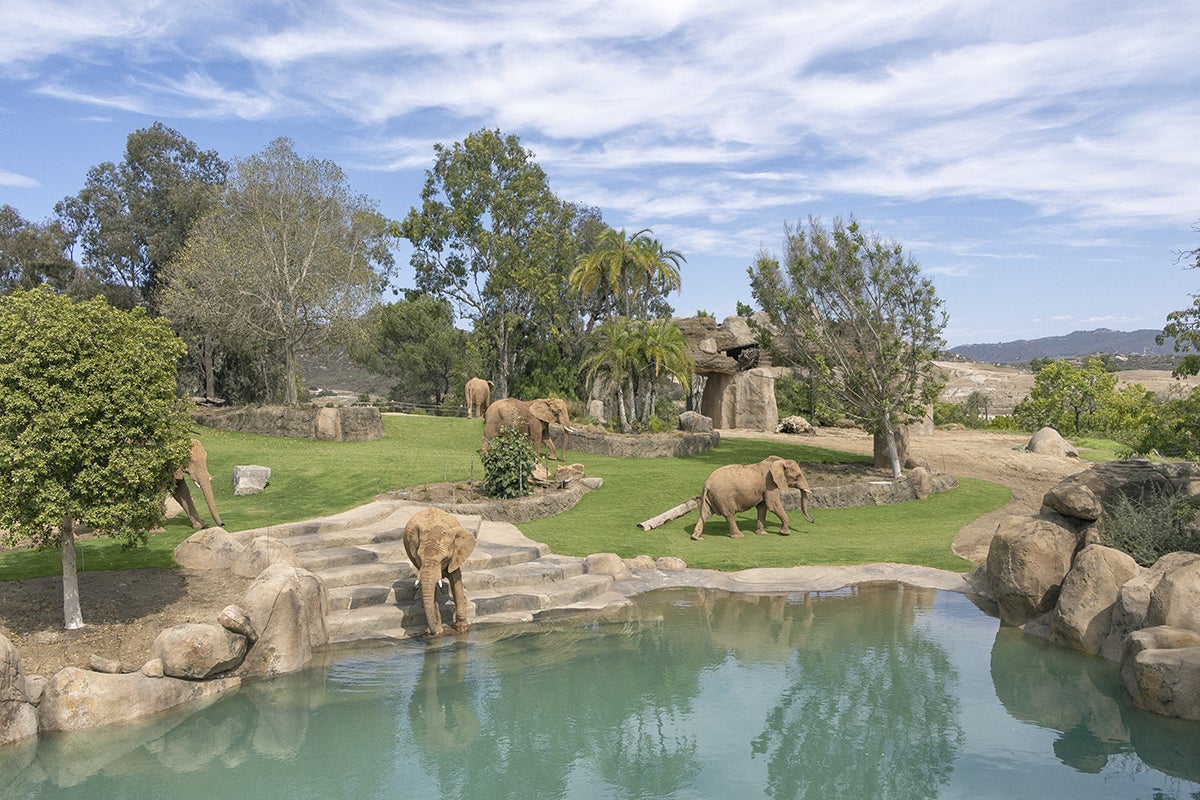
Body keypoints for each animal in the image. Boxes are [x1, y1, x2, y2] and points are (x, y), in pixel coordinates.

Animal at [402, 507, 477, 636]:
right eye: (419, 558)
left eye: (444, 559)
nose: (428, 632)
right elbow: (432, 590)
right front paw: (437, 632)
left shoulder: (455, 555)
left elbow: (455, 580)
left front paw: (462, 629)